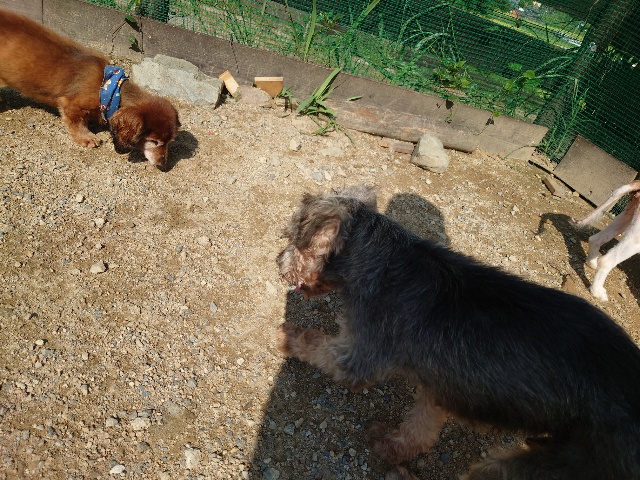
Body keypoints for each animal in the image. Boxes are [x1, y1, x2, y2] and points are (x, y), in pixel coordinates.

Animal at [0, 9, 179, 171]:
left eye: (169, 142)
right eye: (154, 141)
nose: (164, 165)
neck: (108, 88)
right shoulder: (71, 104)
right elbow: (77, 122)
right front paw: (86, 138)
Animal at [276, 185, 640, 480]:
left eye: (292, 238)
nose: (279, 261)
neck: (380, 261)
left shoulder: (361, 353)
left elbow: (316, 344)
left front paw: (287, 335)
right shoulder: (442, 385)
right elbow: (420, 429)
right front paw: (394, 447)